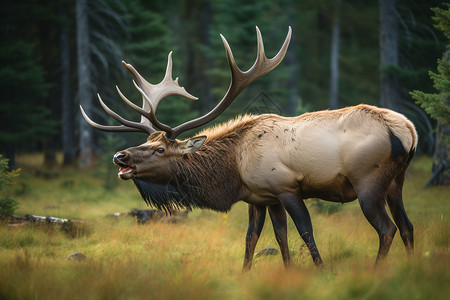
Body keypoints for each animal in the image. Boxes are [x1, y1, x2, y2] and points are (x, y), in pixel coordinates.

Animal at [79, 26, 416, 270]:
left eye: (160, 149)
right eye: (147, 142)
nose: (119, 155)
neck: (234, 168)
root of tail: (408, 131)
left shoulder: (286, 187)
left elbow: (305, 230)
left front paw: (320, 270)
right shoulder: (261, 198)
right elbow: (261, 238)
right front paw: (263, 272)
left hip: (367, 180)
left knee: (387, 229)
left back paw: (376, 270)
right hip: (396, 181)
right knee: (407, 225)